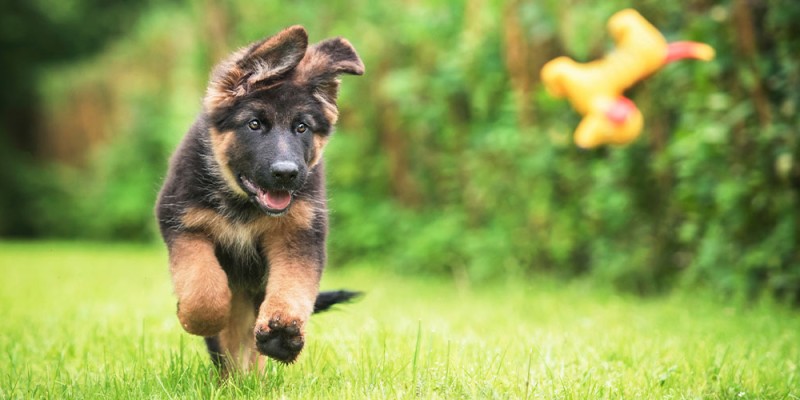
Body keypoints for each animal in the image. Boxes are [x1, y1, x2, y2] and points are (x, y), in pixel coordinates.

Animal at [154, 26, 366, 374]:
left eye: (301, 127)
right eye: (254, 124)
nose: (286, 173)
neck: (245, 205)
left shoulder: (299, 235)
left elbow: (293, 285)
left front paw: (283, 333)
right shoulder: (183, 225)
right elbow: (202, 288)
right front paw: (199, 318)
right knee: (231, 343)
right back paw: (232, 377)